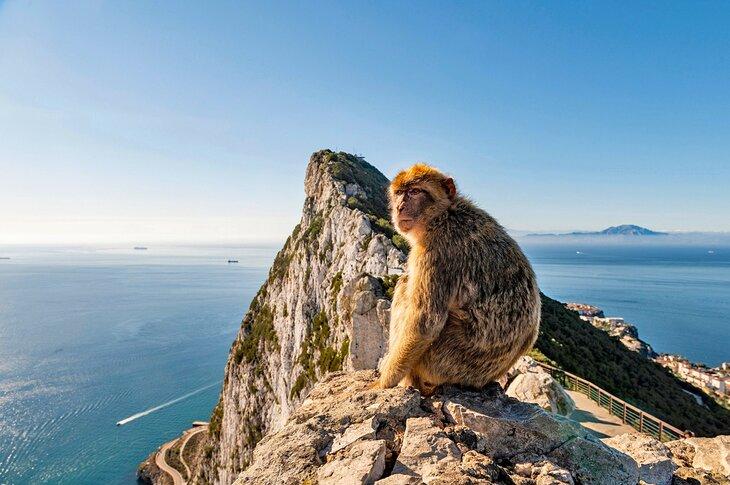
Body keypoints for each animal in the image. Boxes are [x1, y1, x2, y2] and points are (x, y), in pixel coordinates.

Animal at [373, 163, 541, 396]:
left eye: (415, 192)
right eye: (399, 193)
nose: (399, 207)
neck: (443, 215)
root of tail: (481, 381)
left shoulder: (436, 251)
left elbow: (425, 322)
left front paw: (382, 383)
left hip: (446, 361)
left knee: (406, 284)